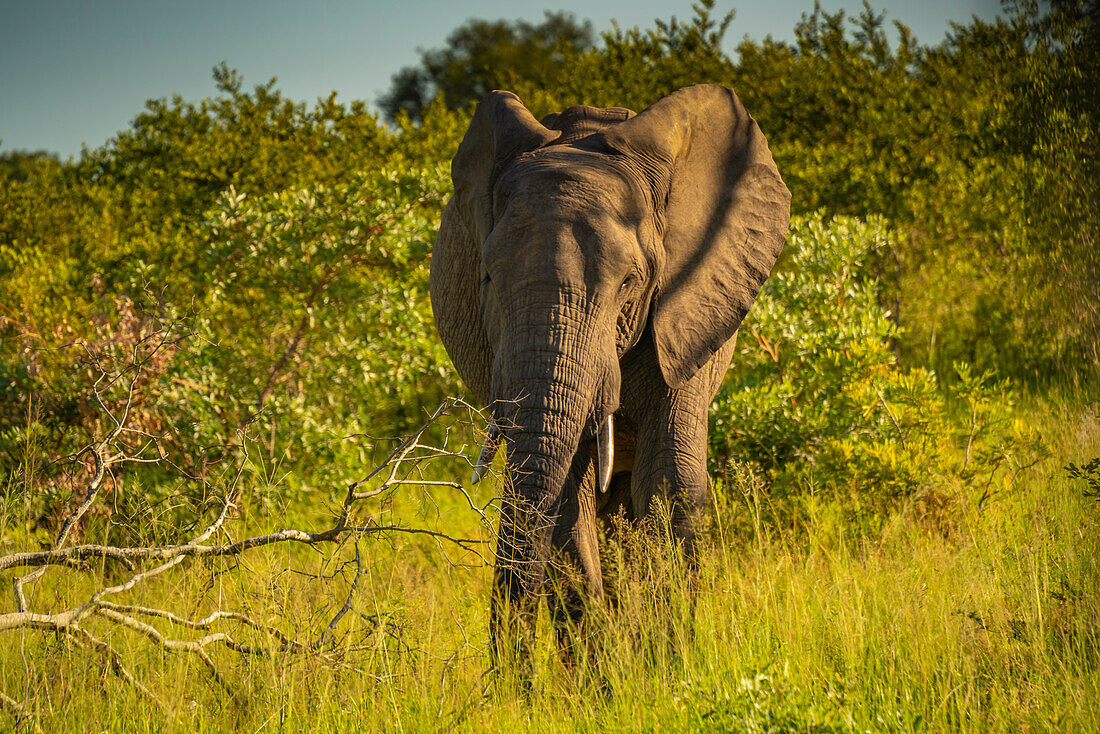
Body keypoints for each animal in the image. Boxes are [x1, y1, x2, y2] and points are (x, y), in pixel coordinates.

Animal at [429, 84, 792, 660]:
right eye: (485, 277)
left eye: (629, 283)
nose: (511, 677)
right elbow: (565, 499)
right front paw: (607, 671)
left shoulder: (688, 310)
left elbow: (670, 482)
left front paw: (664, 665)